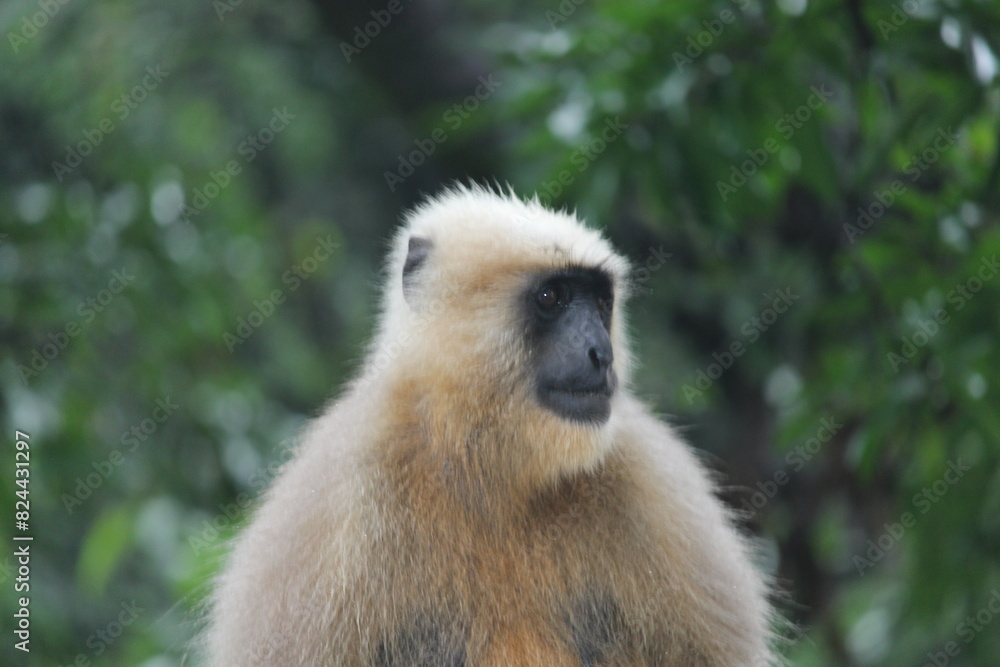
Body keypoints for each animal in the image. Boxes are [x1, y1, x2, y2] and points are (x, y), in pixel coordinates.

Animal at [204, 185, 777, 666]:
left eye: (600, 303)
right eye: (552, 298)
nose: (601, 353)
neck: (489, 474)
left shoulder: (650, 480)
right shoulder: (339, 494)